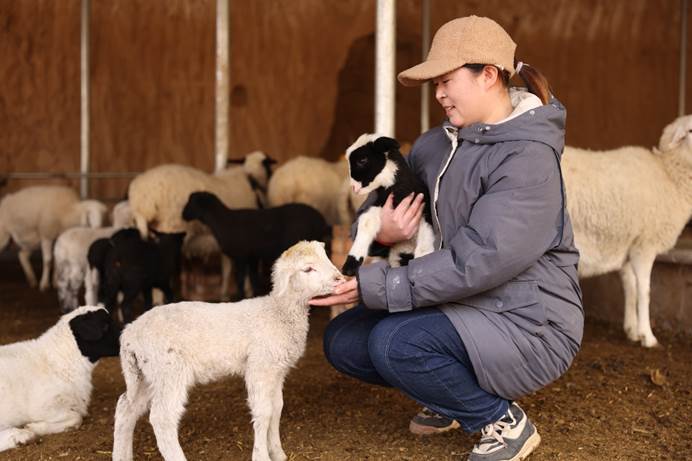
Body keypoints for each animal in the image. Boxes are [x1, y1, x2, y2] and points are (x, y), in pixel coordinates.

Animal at [0, 304, 120, 452]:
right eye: (105, 326)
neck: (59, 359)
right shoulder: (44, 407)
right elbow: (76, 418)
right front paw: (34, 427)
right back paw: (20, 436)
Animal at [110, 239, 344, 460]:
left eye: (326, 257)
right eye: (308, 269)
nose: (339, 279)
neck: (278, 312)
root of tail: (129, 334)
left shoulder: (277, 370)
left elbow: (277, 408)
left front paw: (277, 452)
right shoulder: (260, 367)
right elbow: (264, 412)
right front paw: (261, 455)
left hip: (144, 375)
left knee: (125, 408)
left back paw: (121, 456)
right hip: (169, 371)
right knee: (162, 418)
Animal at [181, 190, 332, 298]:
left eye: (192, 202)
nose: (183, 215)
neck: (222, 221)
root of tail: (321, 221)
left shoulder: (241, 256)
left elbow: (240, 278)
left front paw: (239, 296)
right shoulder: (252, 256)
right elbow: (253, 278)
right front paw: (253, 294)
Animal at [340, 133, 432, 276]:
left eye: (362, 160)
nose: (354, 188)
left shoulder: (424, 213)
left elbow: (424, 249)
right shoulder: (380, 204)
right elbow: (366, 222)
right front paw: (350, 265)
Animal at [564, 114, 692, 344]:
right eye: (690, 131)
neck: (669, 175)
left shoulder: (627, 244)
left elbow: (630, 286)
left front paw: (632, 330)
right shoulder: (645, 244)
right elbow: (645, 290)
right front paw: (648, 336)